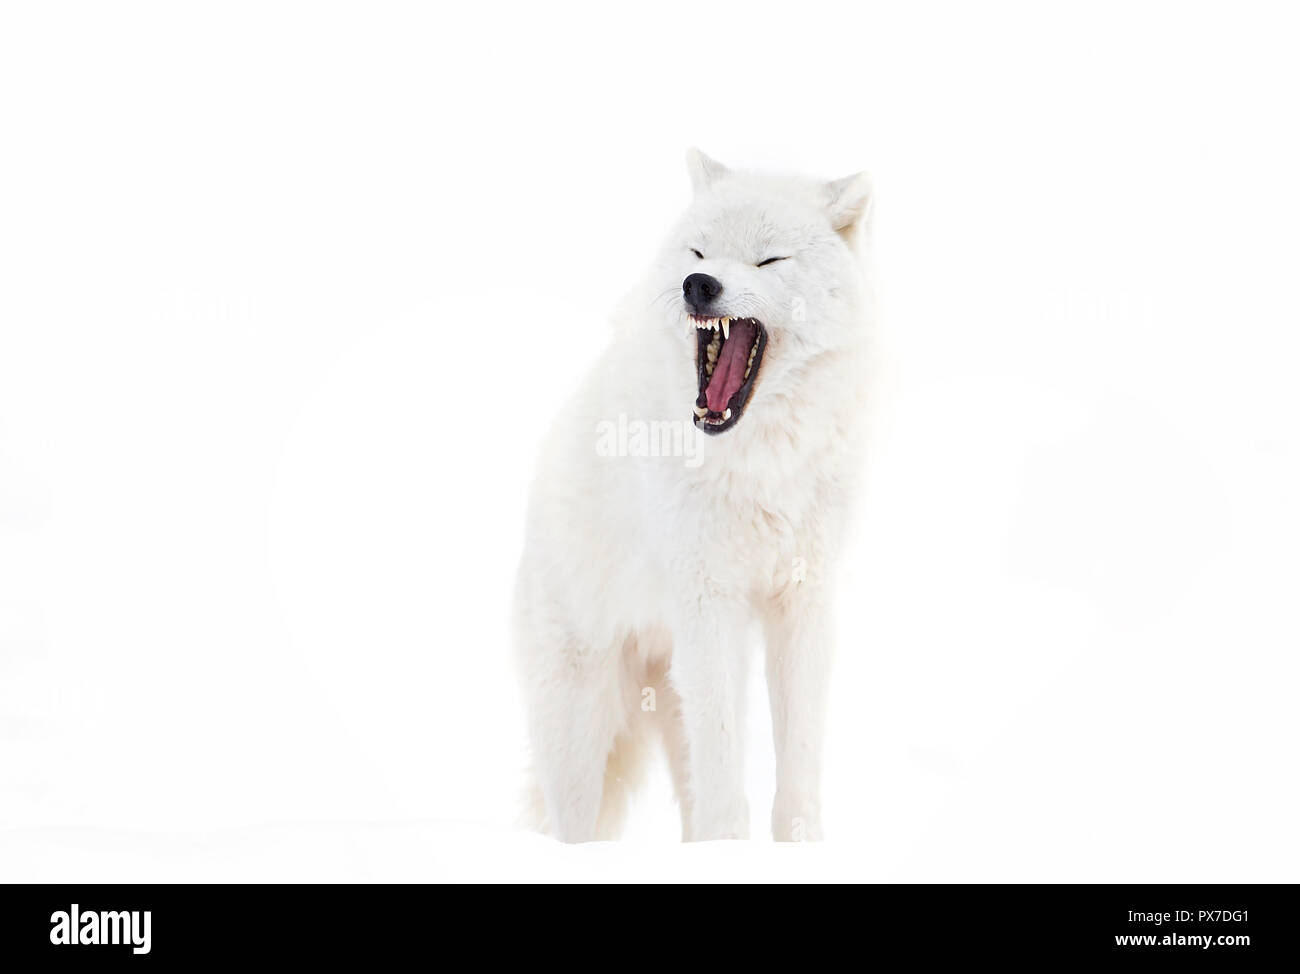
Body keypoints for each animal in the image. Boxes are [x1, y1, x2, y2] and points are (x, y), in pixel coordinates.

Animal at [514, 148, 873, 837]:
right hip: (582, 729)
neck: (759, 458)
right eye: (699, 251)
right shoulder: (708, 600)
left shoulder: (803, 600)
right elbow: (727, 771)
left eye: (769, 259)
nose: (699, 285)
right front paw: (733, 843)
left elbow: (799, 758)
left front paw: (801, 840)